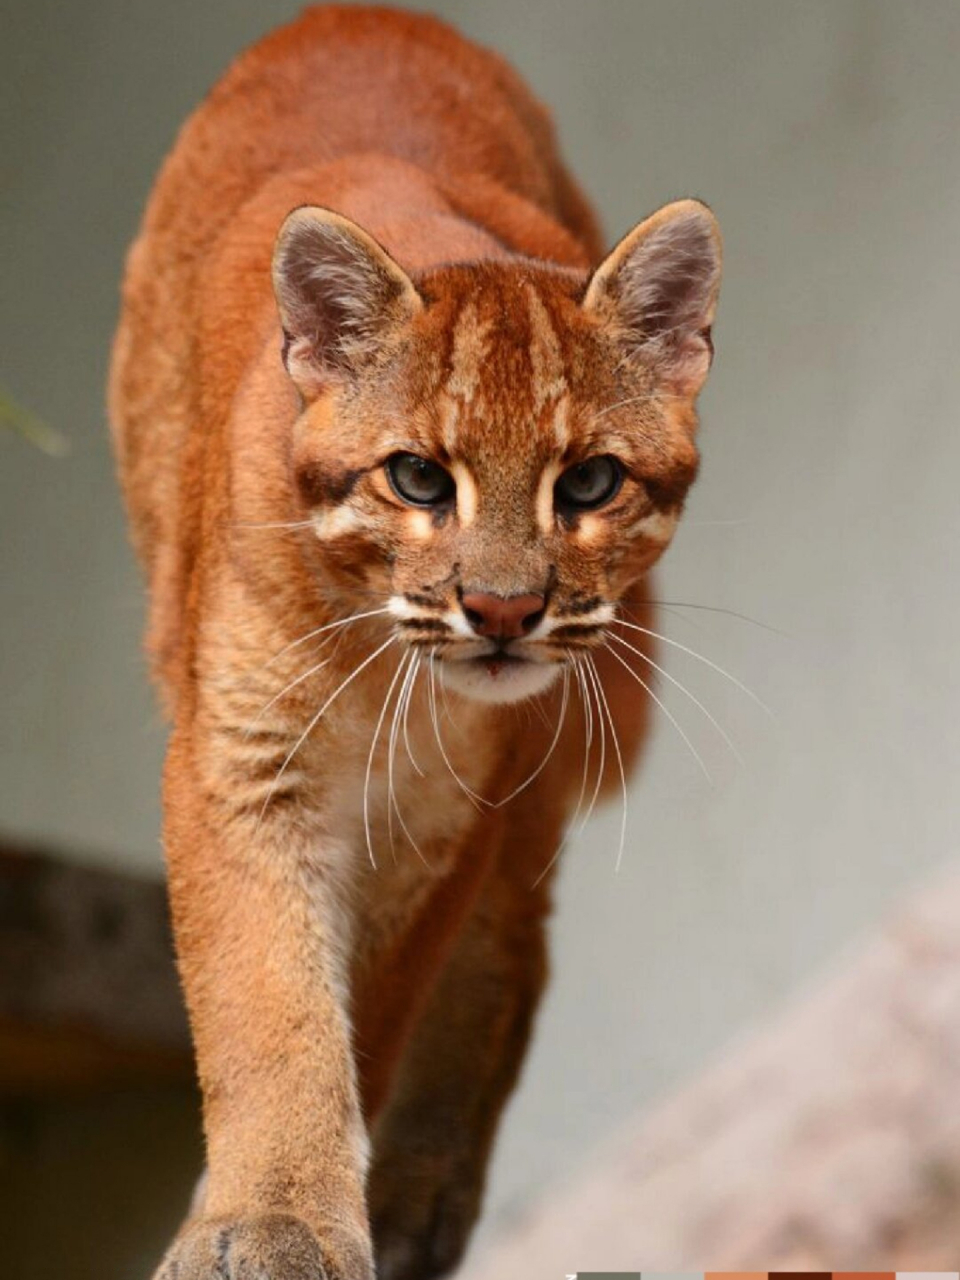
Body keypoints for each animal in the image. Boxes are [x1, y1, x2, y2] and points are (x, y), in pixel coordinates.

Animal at [106, 5, 721, 1274]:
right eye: (420, 479)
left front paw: (300, 1206)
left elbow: (368, 1004)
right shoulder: (242, 760)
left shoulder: (447, 805)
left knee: (517, 944)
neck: (377, 663)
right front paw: (271, 1212)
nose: (504, 609)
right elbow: (269, 992)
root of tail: (363, 14)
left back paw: (424, 1193)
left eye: (590, 482)